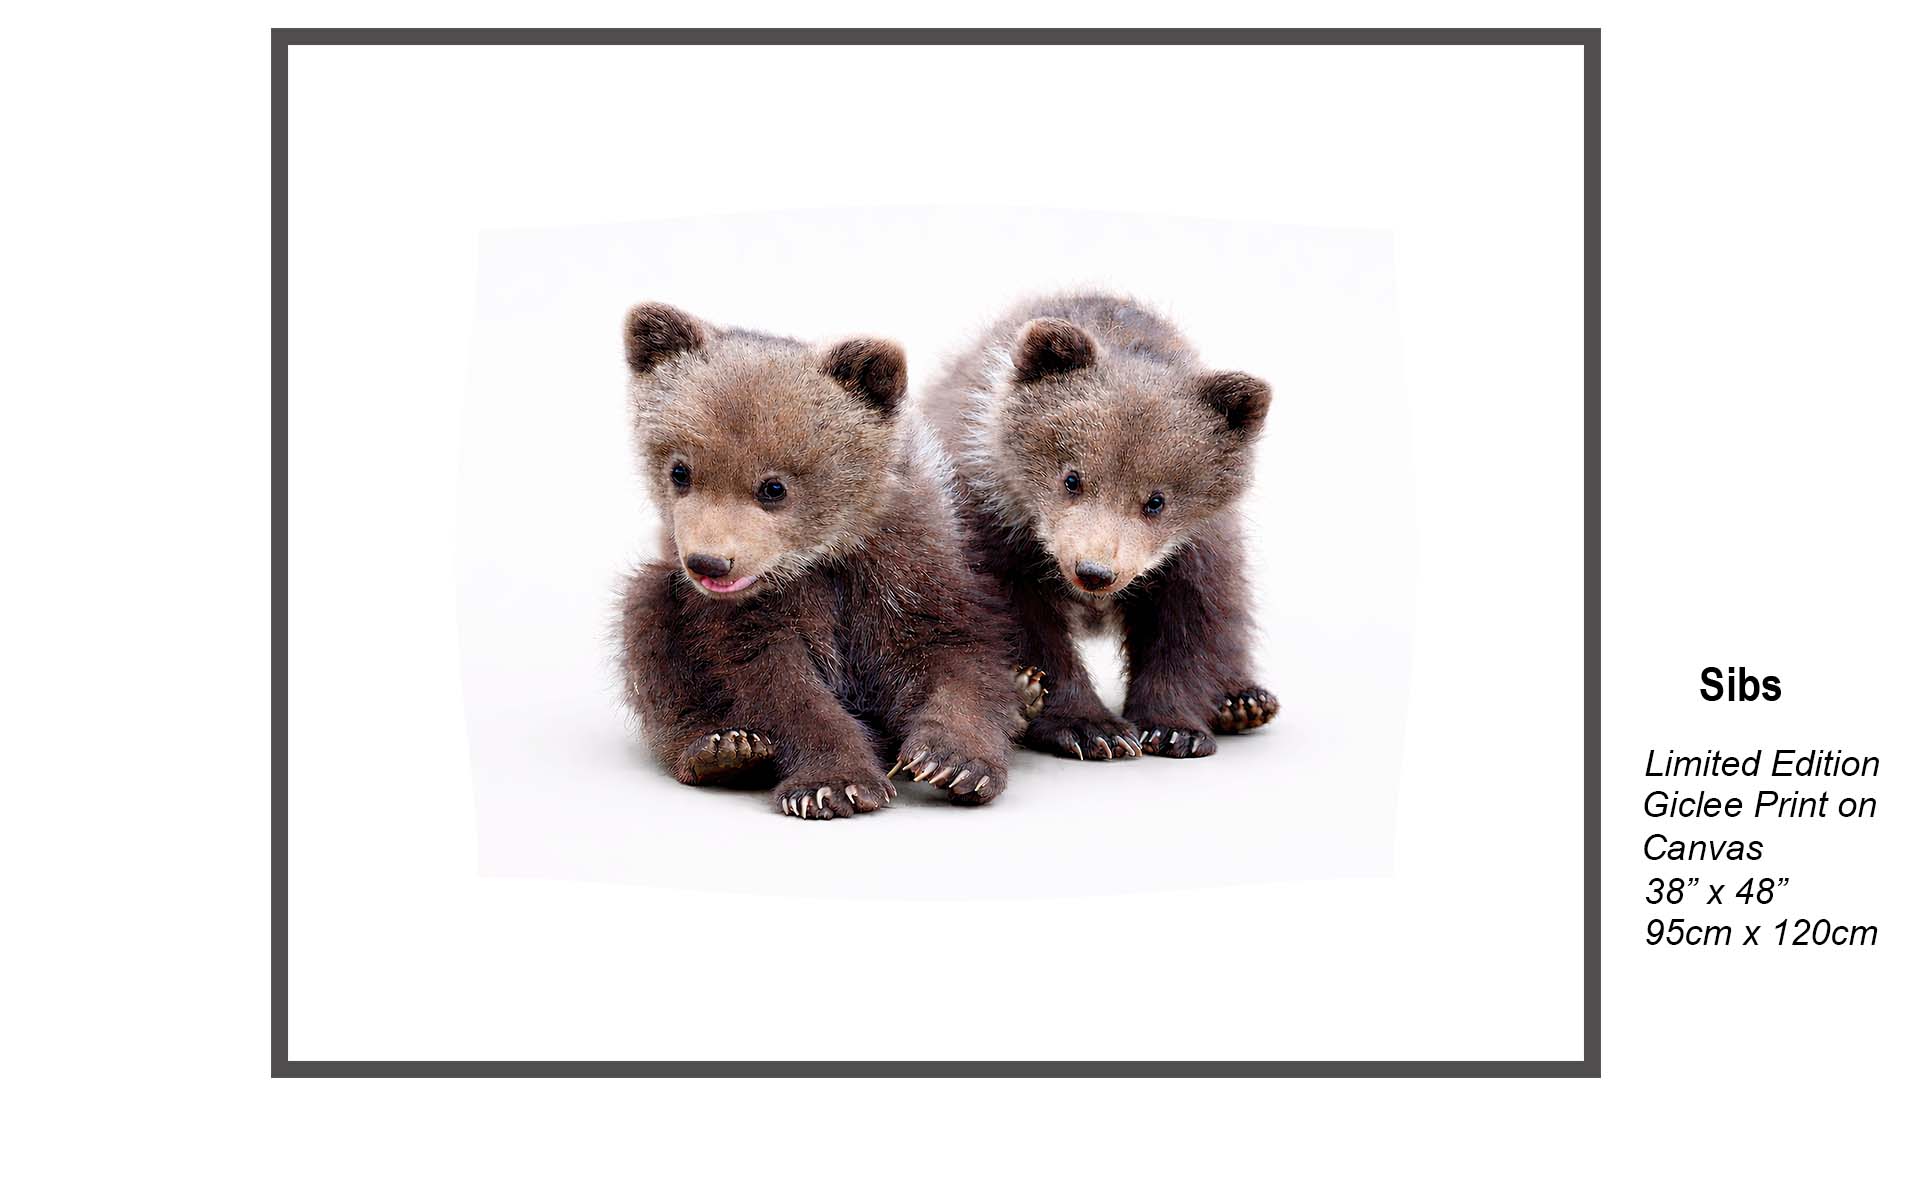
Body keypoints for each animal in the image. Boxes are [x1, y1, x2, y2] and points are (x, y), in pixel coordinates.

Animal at [616, 302, 1041, 819]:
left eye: (773, 487)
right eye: (680, 471)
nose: (710, 562)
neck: (823, 557)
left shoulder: (911, 566)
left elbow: (954, 653)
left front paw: (955, 761)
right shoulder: (751, 613)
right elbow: (776, 683)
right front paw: (832, 784)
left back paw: (1024, 693)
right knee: (647, 626)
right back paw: (719, 750)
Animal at [919, 291, 1280, 762]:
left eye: (1156, 501)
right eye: (1072, 478)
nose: (1094, 572)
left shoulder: (1194, 548)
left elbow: (1189, 624)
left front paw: (1173, 728)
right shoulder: (994, 527)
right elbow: (1023, 628)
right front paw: (1090, 727)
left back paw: (1244, 700)